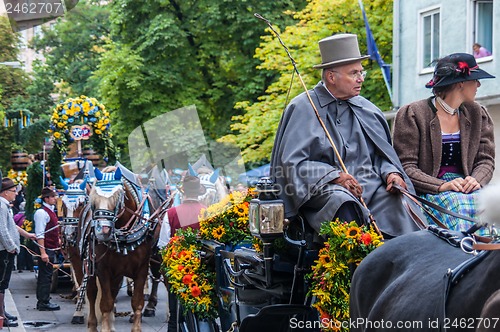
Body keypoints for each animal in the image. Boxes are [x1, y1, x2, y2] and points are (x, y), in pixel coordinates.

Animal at [85, 169, 162, 332]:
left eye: (117, 199)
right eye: (93, 201)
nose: (102, 230)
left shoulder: (142, 267)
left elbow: (137, 301)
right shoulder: (103, 268)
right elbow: (106, 302)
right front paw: (106, 327)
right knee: (92, 293)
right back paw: (93, 324)